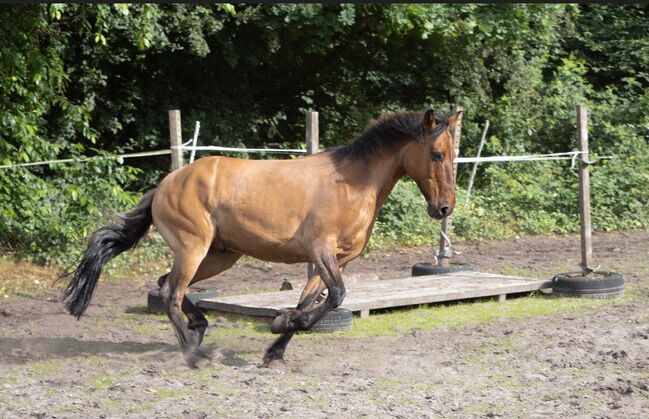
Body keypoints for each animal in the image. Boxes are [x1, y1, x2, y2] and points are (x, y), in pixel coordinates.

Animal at [63, 110, 460, 370]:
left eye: (455, 156)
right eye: (436, 154)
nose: (444, 208)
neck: (352, 183)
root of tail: (164, 184)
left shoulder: (335, 260)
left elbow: (311, 302)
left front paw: (276, 347)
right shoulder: (321, 251)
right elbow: (336, 296)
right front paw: (281, 323)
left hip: (218, 255)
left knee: (165, 285)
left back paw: (197, 332)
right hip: (194, 248)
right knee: (171, 293)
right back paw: (195, 355)